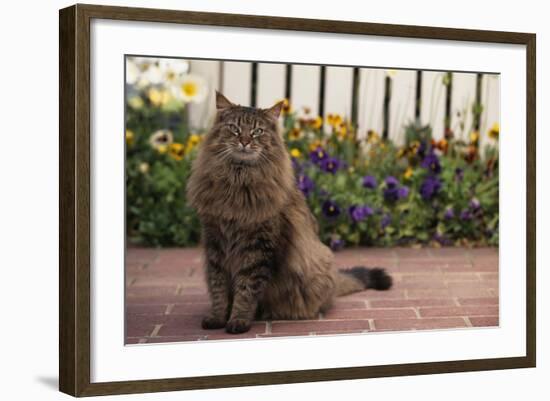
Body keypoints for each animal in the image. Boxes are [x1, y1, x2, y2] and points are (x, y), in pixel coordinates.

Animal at [188, 92, 394, 332]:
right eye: (235, 128)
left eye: (258, 131)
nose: (245, 141)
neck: (237, 182)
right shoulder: (215, 244)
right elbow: (219, 290)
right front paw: (217, 318)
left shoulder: (258, 249)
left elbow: (246, 290)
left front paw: (238, 320)